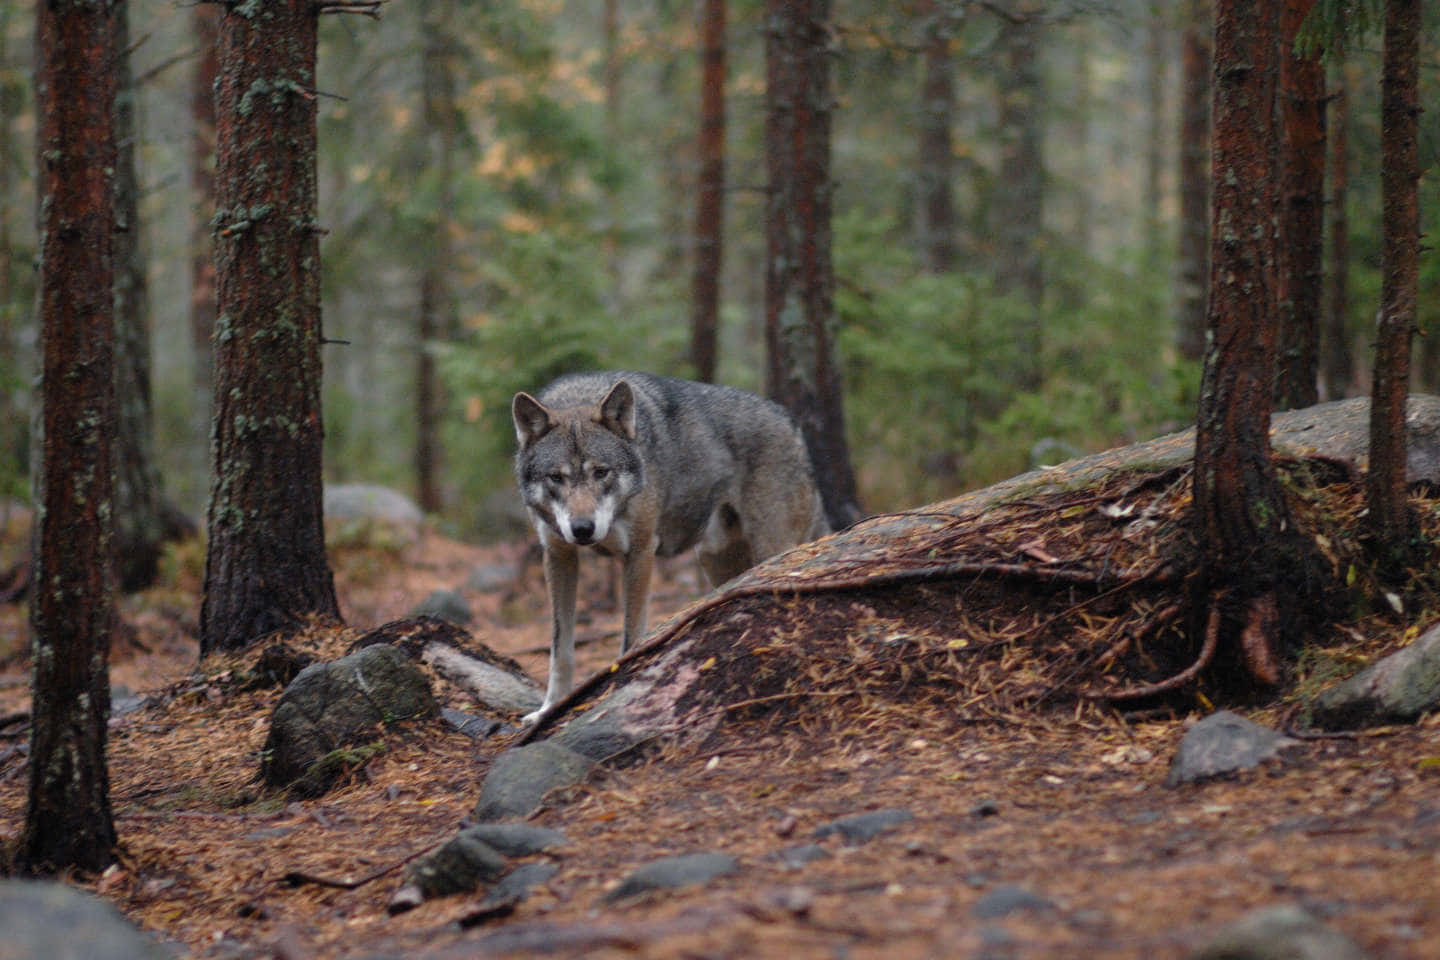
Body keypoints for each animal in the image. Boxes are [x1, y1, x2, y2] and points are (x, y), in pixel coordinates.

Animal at [512, 371, 829, 719]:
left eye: (601, 472)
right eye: (556, 477)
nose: (583, 529)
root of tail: (790, 421)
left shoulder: (639, 552)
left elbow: (630, 638)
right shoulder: (559, 554)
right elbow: (560, 649)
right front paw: (549, 709)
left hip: (771, 549)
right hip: (715, 560)